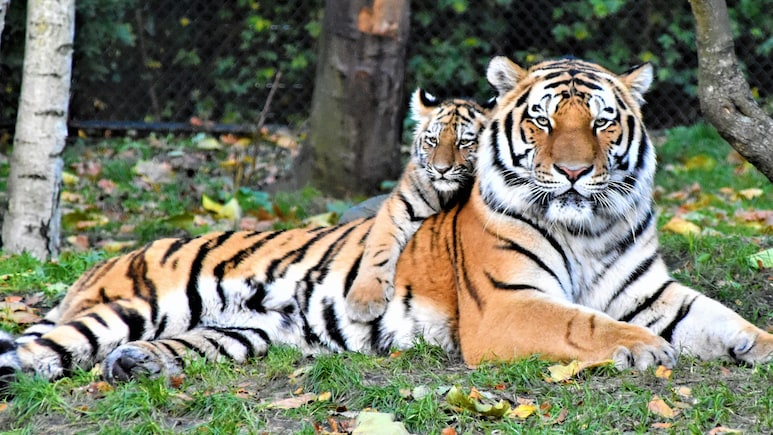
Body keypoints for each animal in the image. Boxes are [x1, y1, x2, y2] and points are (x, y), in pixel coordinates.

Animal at [344, 88, 491, 322]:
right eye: (432, 140)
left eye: (463, 142)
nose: (441, 169)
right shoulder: (398, 207)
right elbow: (378, 249)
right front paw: (363, 301)